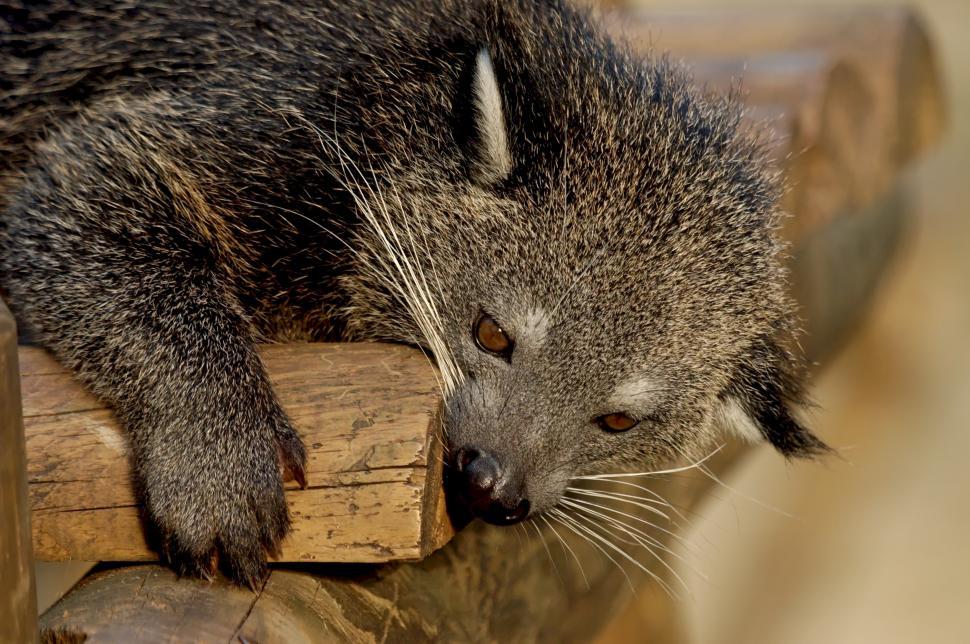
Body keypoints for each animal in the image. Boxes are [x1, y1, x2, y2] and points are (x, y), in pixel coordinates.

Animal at [0, 0, 827, 586]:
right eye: (492, 334)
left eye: (618, 420)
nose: (496, 489)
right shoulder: (263, 115)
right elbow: (88, 188)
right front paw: (216, 461)